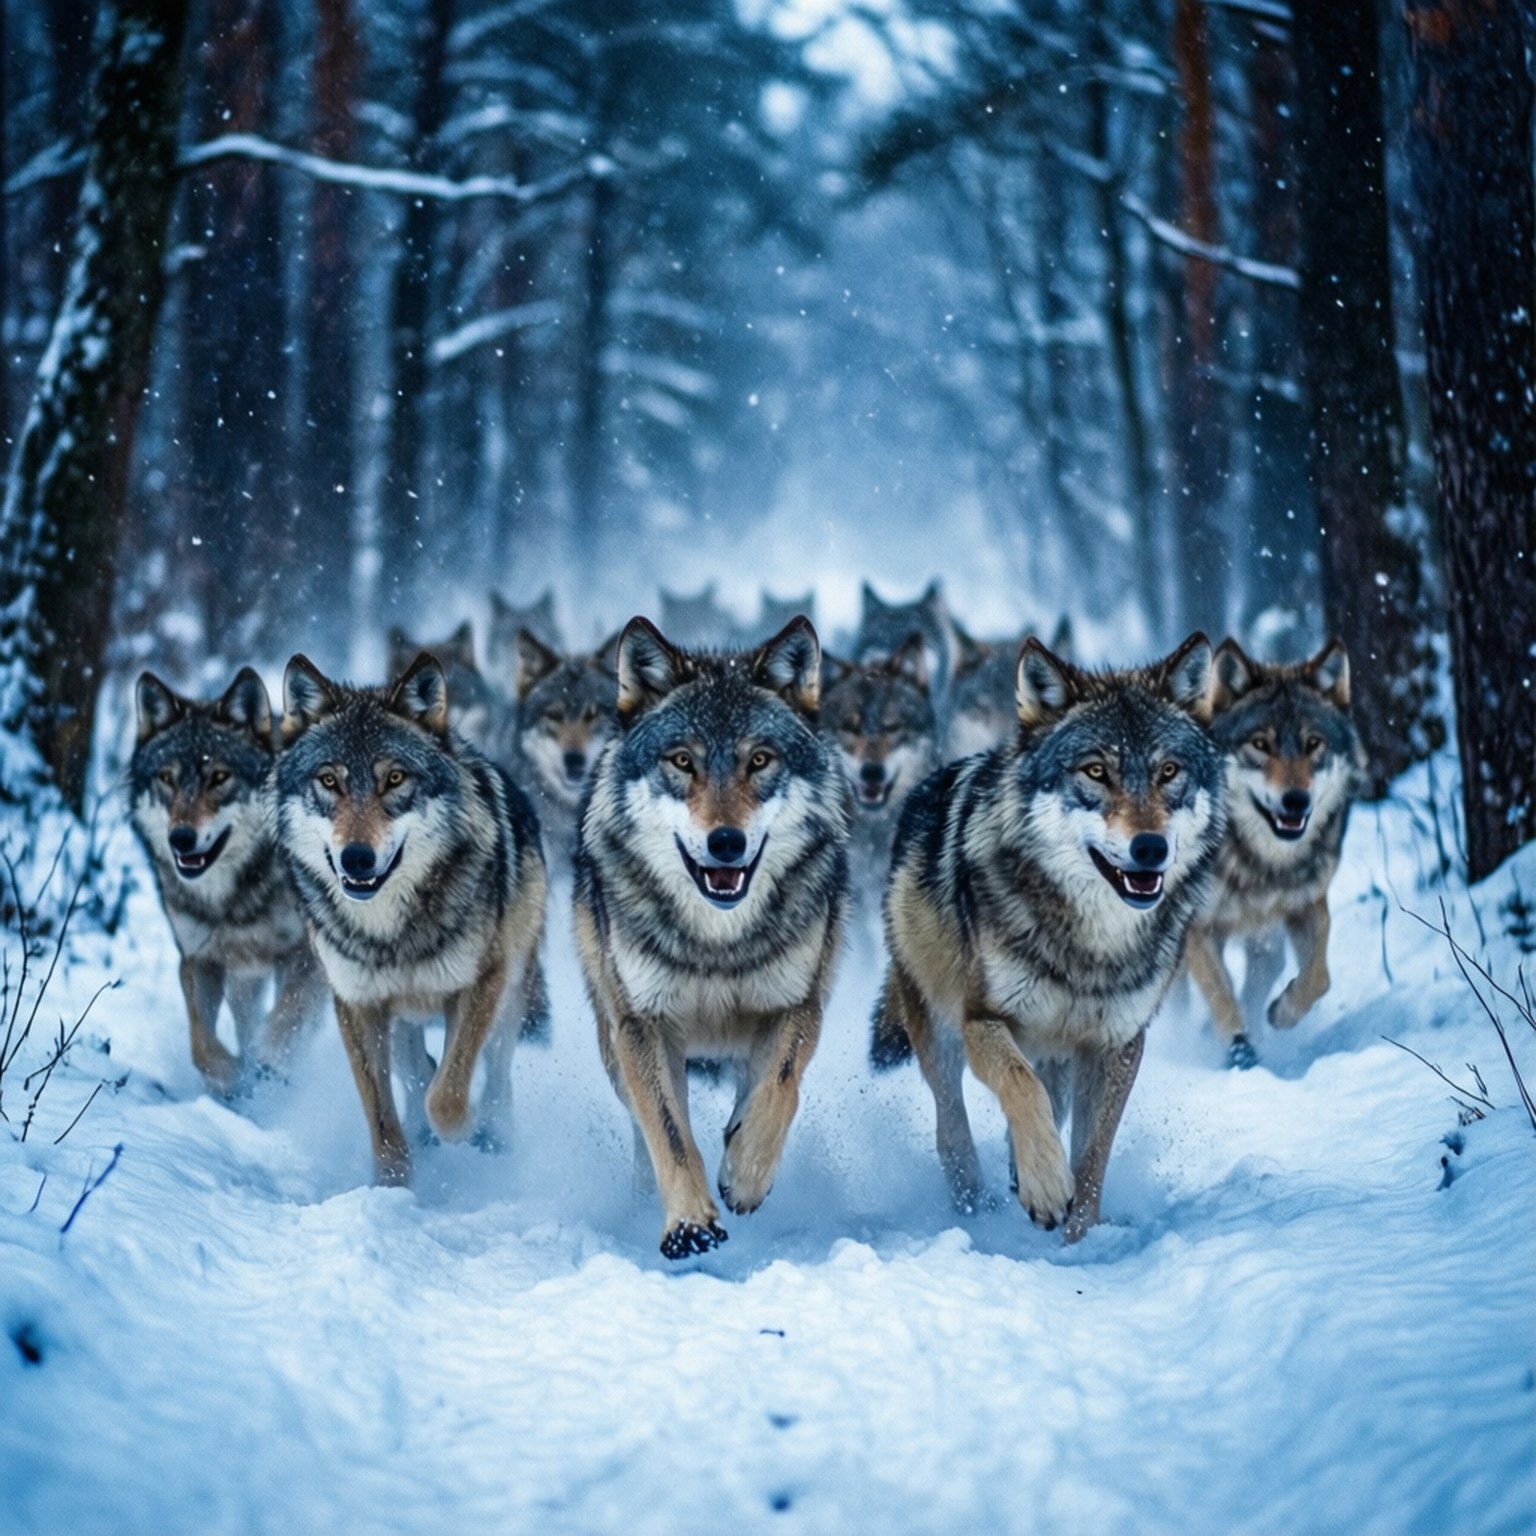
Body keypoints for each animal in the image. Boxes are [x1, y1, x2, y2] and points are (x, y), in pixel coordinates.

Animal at [130, 668, 324, 1095]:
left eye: (219, 777)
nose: (181, 838)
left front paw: (272, 1060)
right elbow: (201, 1043)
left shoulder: (305, 954)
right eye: (166, 778)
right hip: (243, 980)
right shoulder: (199, 959)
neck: (232, 897)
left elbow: (289, 1016)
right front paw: (228, 1076)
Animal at [276, 652, 548, 1185]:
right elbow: (382, 1118)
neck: (389, 932)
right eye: (329, 780)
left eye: (395, 779)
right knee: (415, 1066)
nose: (357, 859)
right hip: (398, 1018)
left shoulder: (483, 982)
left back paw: (494, 1133)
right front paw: (392, 1187)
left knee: (496, 1069)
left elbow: (448, 1095)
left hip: (512, 988)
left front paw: (463, 1128)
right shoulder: (357, 1004)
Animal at [573, 616, 849, 1258]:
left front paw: (745, 1174)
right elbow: (670, 1132)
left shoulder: (800, 1004)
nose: (726, 843)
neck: (718, 942)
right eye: (682, 761)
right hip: (614, 1039)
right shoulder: (641, 1025)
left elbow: (781, 1087)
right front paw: (689, 1224)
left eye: (760, 760)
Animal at [872, 634, 1224, 1241]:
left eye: (1169, 771)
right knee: (951, 1121)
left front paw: (1079, 1235)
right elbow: (1019, 1086)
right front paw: (1044, 1188)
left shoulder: (1116, 1044)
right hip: (938, 1026)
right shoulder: (983, 1020)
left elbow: (1093, 1152)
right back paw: (975, 1197)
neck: (1092, 945)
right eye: (1096, 772)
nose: (1150, 848)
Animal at [1184, 639, 1366, 1070]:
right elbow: (1220, 995)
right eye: (1260, 745)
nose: (1295, 801)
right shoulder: (1197, 928)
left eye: (1313, 744)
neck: (1261, 864)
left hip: (1266, 943)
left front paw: (1280, 1013)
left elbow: (1319, 978)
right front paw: (1238, 1052)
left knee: (1260, 977)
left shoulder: (1306, 905)